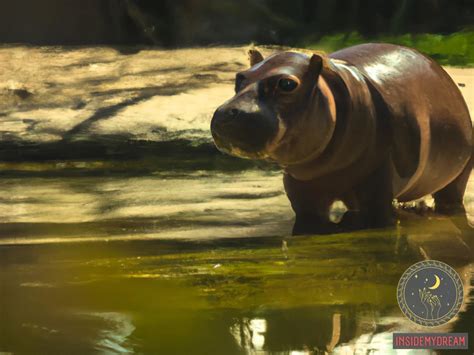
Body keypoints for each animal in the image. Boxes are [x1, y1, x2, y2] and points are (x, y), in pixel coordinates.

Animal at [212, 43, 474, 235]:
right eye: (239, 78)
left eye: (286, 84)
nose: (227, 113)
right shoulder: (302, 191)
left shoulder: (379, 183)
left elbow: (379, 216)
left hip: (459, 174)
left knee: (451, 197)